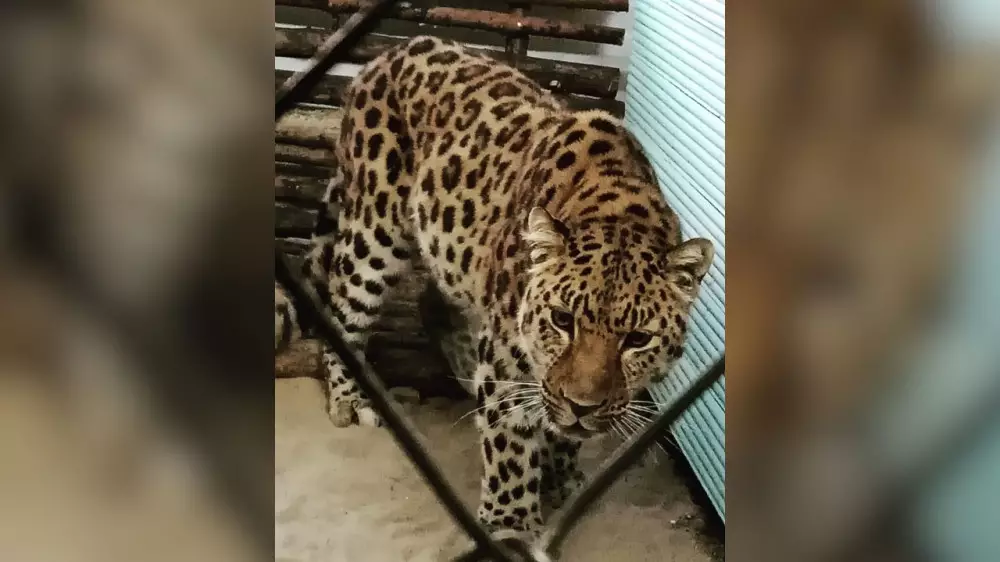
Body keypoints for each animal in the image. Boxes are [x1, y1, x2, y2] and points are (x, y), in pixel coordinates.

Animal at [275, 35, 715, 537]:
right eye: (562, 320)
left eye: (637, 339)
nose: (582, 406)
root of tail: (389, 53)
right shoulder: (507, 356)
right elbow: (510, 444)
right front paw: (511, 523)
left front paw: (561, 471)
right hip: (373, 232)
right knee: (345, 308)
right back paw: (350, 398)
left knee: (434, 304)